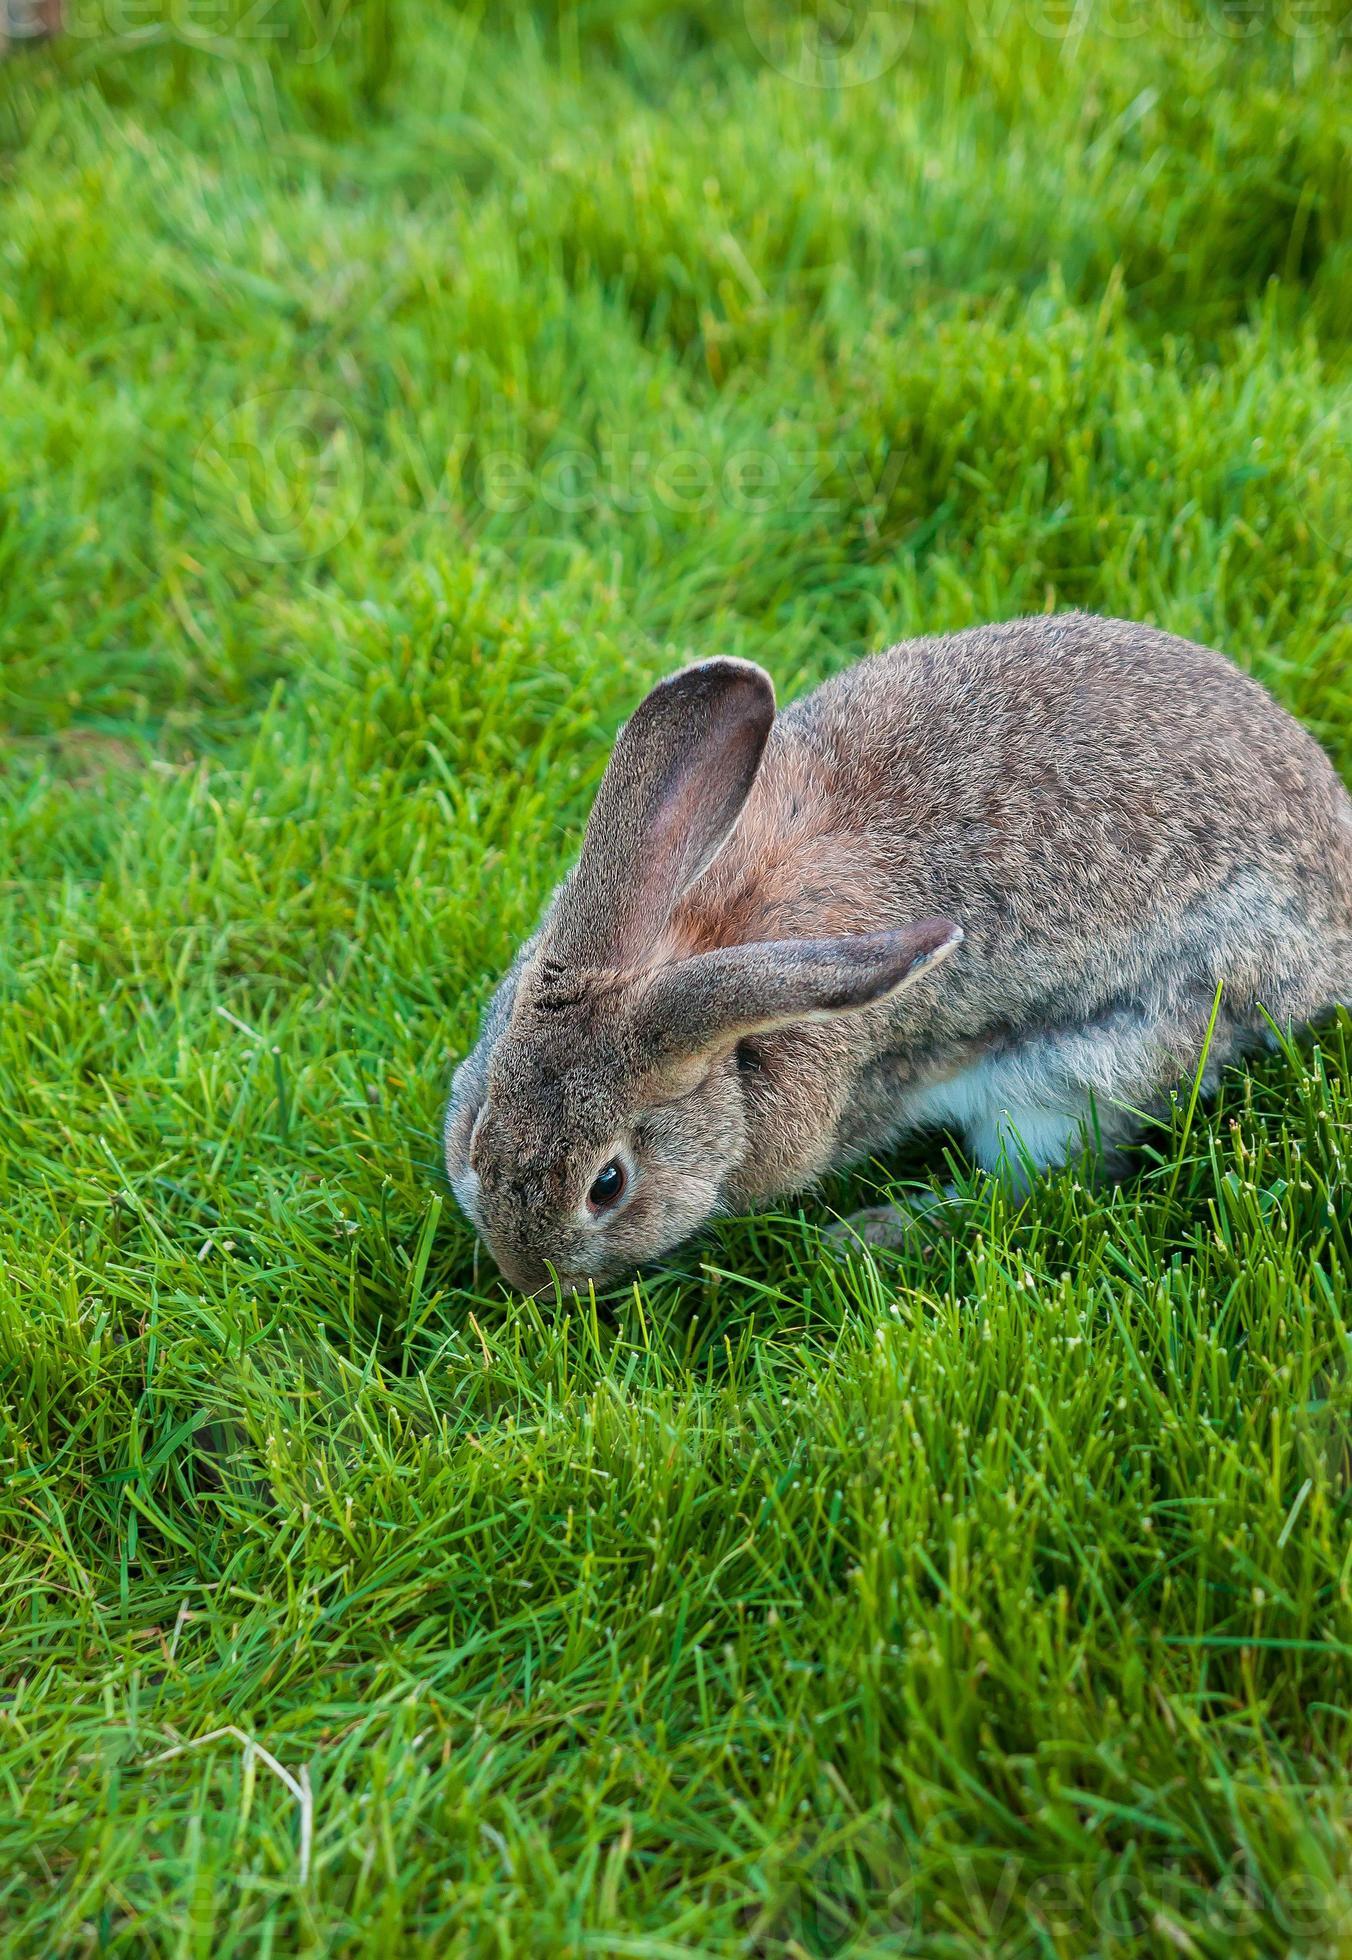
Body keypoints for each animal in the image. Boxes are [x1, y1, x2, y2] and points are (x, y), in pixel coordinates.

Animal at [445, 612, 1352, 1291]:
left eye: (608, 1185)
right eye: (481, 1121)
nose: (528, 1279)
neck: (703, 945)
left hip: (1086, 1065)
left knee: (1030, 1186)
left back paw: (868, 1233)